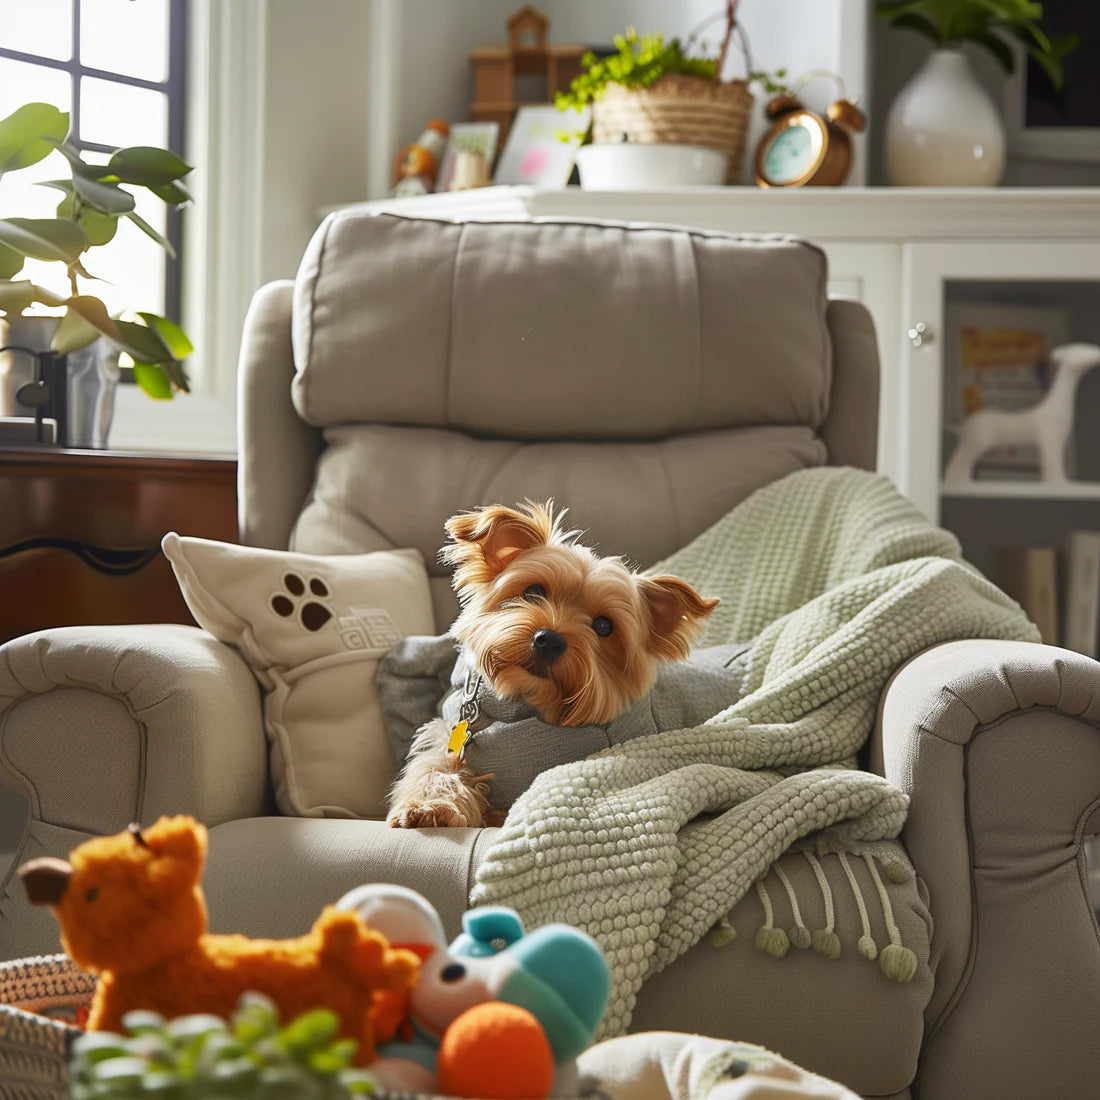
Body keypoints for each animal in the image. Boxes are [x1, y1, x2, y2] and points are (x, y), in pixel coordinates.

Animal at [389, 503, 721, 827]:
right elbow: (436, 765)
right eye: (533, 592)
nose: (550, 640)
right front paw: (431, 806)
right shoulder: (452, 740)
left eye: (603, 626)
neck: (522, 704)